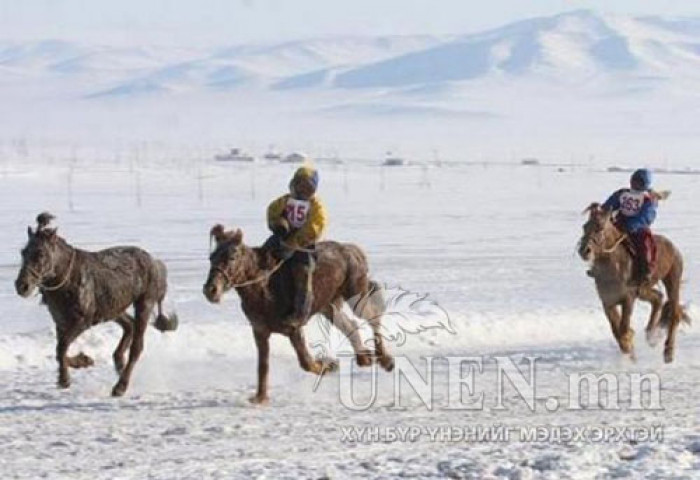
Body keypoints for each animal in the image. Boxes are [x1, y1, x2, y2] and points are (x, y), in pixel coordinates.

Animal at [14, 212, 178, 396]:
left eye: (41, 253)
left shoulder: (82, 321)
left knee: (136, 347)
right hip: (114, 308)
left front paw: (65, 378)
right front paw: (83, 361)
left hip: (144, 303)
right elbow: (60, 350)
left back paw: (120, 386)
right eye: (23, 252)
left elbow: (61, 348)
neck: (67, 280)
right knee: (129, 325)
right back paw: (119, 363)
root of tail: (154, 261)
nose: (22, 286)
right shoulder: (61, 322)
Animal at [202, 223, 394, 404]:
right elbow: (263, 366)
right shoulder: (260, 331)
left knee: (373, 318)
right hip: (328, 305)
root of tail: (353, 250)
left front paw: (329, 365)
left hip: (355, 296)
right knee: (349, 324)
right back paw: (364, 357)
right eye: (212, 257)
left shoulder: (293, 328)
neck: (264, 288)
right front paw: (260, 398)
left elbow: (306, 362)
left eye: (232, 257)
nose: (211, 290)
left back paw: (385, 359)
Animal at [580, 203, 688, 364]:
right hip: (643, 290)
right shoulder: (608, 301)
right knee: (658, 298)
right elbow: (616, 330)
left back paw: (668, 353)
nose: (584, 250)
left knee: (674, 314)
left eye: (600, 228)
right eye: (585, 226)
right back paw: (651, 336)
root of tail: (673, 247)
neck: (613, 265)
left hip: (672, 280)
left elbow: (624, 328)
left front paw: (629, 346)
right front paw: (629, 351)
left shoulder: (628, 298)